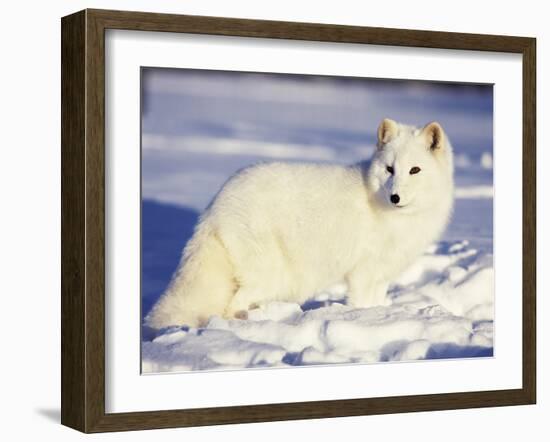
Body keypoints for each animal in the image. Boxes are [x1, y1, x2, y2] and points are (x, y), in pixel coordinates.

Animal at [144, 117, 454, 328]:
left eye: (415, 170)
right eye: (389, 169)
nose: (395, 197)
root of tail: (216, 204)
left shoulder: (381, 274)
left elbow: (377, 302)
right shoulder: (363, 273)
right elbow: (363, 304)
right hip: (270, 273)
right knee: (232, 305)